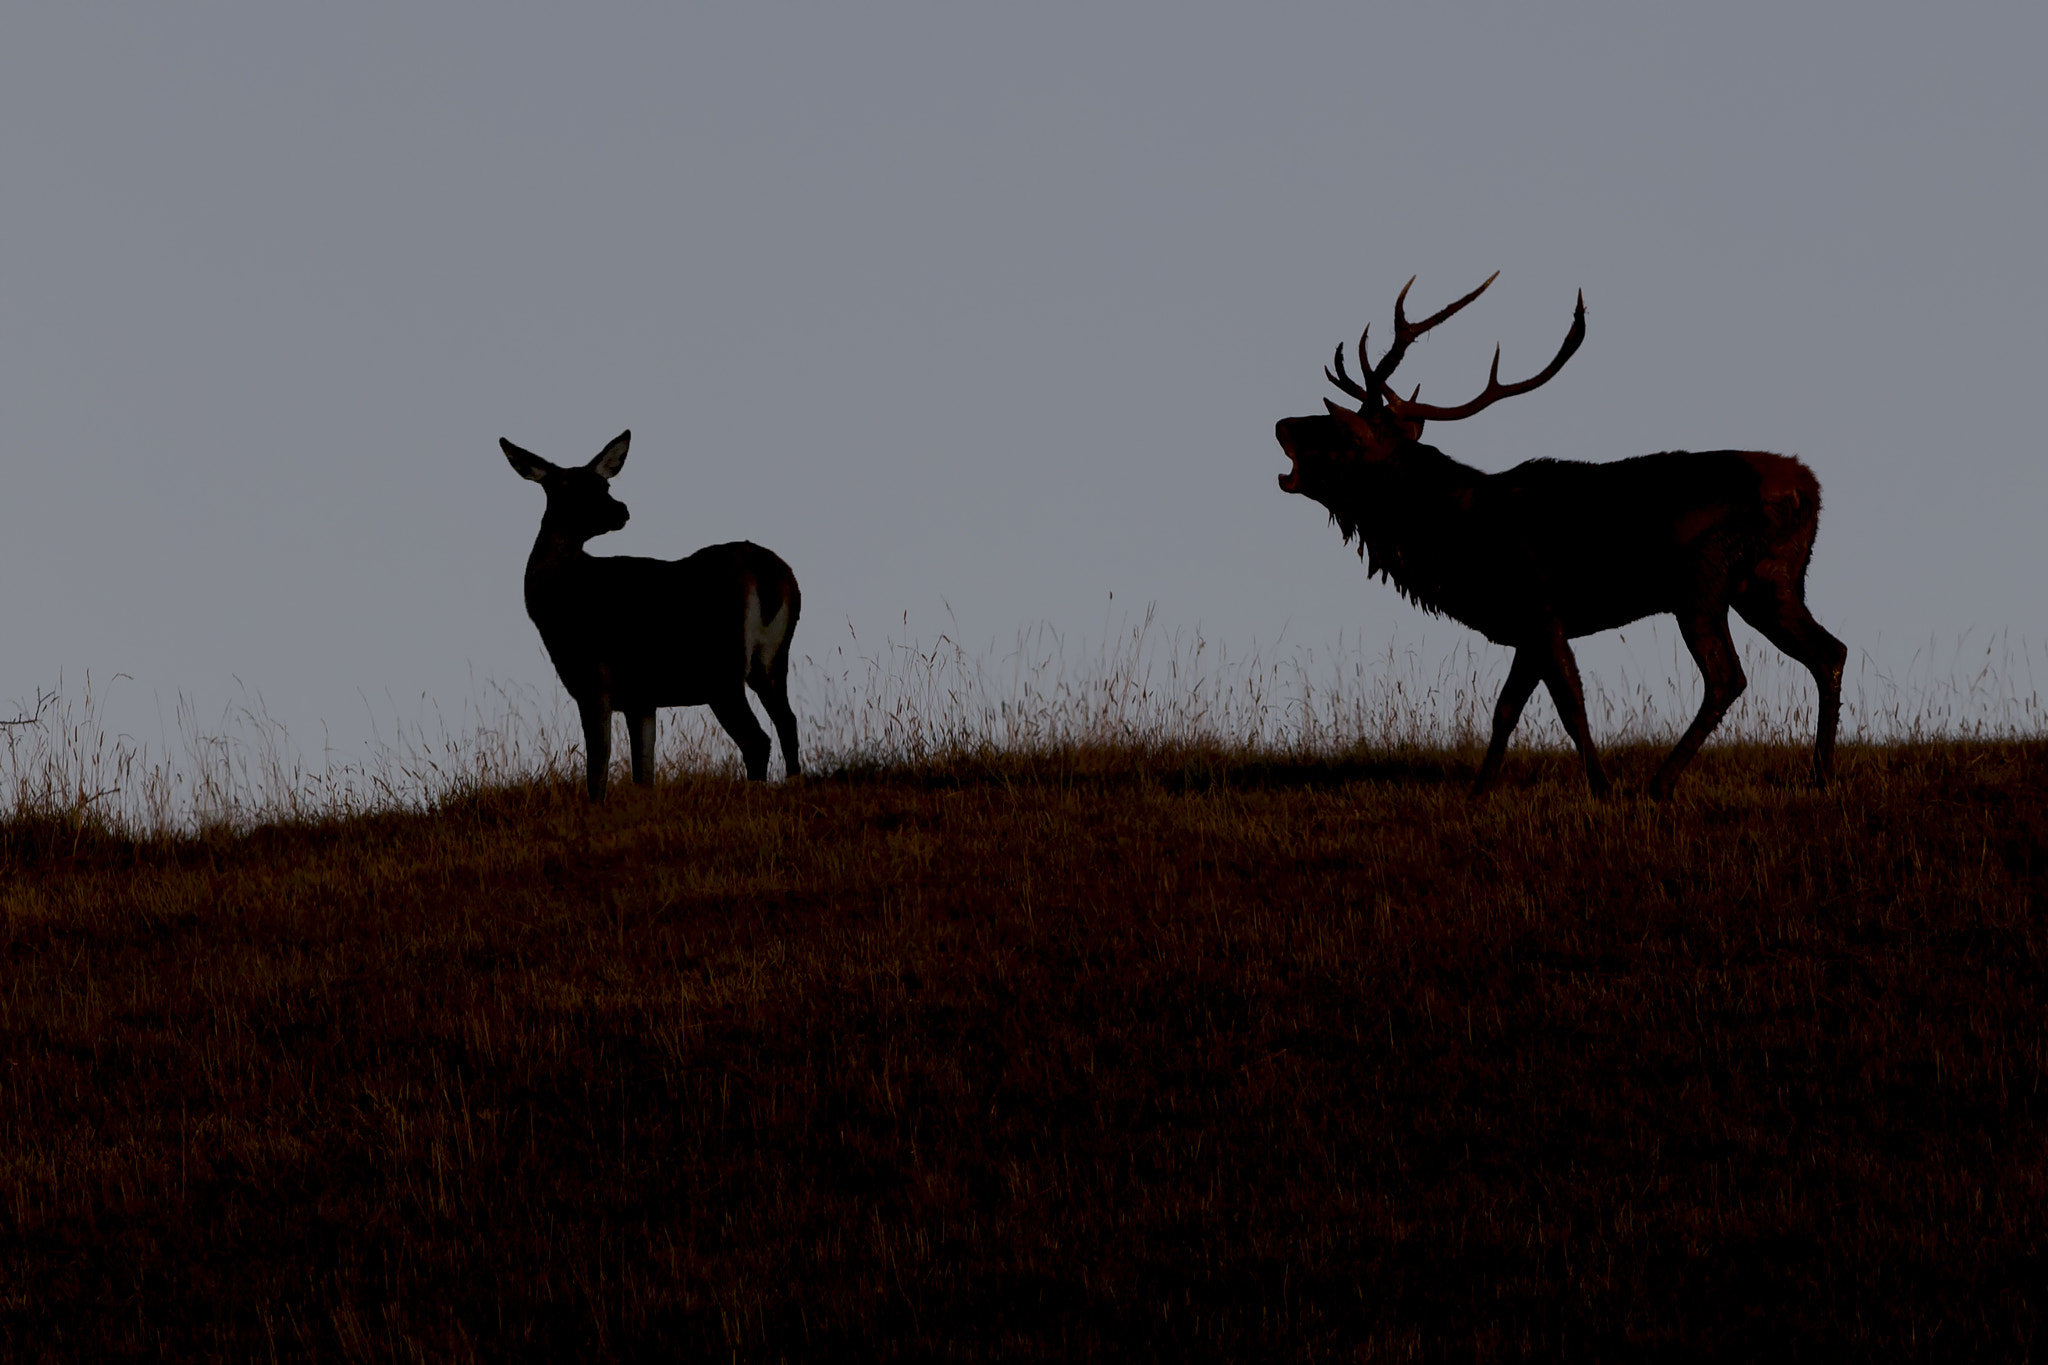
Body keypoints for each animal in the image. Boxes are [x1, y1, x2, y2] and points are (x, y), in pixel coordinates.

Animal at [499, 431, 802, 802]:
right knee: (787, 721)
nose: (621, 510)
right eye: (569, 485)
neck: (557, 598)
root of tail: (768, 574)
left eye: (604, 484)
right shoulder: (640, 697)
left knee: (757, 739)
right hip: (772, 658)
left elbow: (598, 765)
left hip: (721, 667)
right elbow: (644, 771)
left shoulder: (593, 677)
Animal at [1269, 278, 1851, 802]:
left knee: (1728, 677)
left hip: (1703, 580)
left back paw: (1660, 784)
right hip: (1771, 581)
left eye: (1338, 432)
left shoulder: (1541, 608)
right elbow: (1505, 711)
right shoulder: (1524, 627)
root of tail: (1807, 487)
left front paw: (1603, 789)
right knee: (1830, 651)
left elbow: (1571, 706)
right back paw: (1820, 775)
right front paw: (1477, 794)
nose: (1281, 423)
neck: (1453, 543)